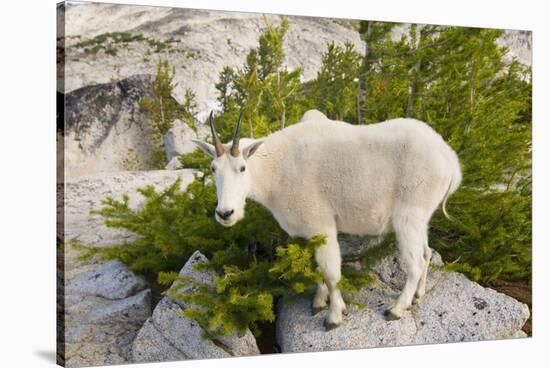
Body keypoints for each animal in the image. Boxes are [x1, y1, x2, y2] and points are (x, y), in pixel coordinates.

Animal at [192, 110, 464, 330]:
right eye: (214, 169)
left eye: (242, 168)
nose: (225, 214)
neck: (275, 169)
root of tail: (450, 160)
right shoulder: (311, 232)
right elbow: (316, 269)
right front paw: (319, 302)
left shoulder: (322, 224)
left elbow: (331, 273)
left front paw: (334, 316)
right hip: (421, 219)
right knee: (427, 253)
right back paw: (418, 295)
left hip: (408, 217)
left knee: (415, 262)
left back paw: (397, 309)